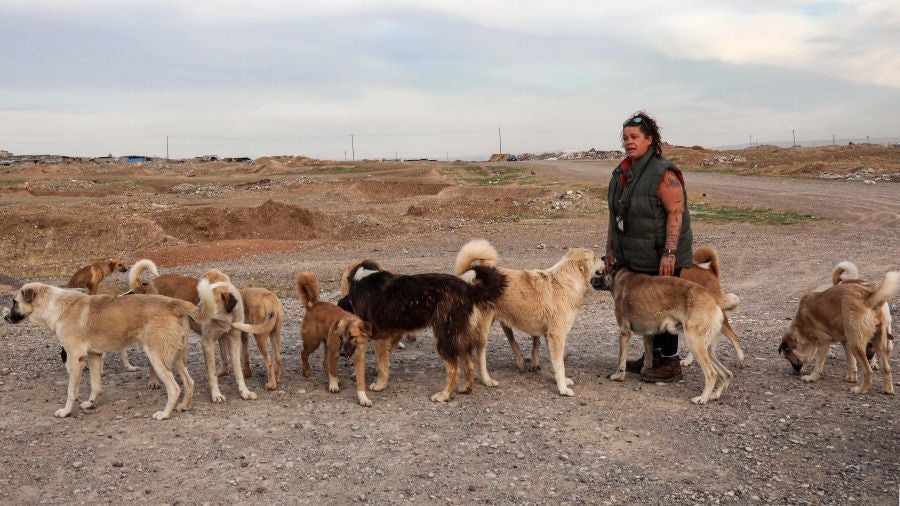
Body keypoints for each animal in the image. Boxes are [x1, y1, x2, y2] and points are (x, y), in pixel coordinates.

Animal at [298, 272, 372, 408]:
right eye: (340, 337)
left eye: (352, 337)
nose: (342, 353)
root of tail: (313, 306)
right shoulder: (334, 354)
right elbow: (333, 371)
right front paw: (333, 385)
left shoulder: (359, 360)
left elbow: (360, 383)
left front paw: (363, 398)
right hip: (313, 343)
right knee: (304, 353)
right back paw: (306, 371)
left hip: (326, 345)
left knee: (324, 362)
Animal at [340, 258, 506, 402]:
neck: (362, 278)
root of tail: (468, 289)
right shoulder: (393, 334)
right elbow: (385, 361)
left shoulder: (379, 337)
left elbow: (381, 364)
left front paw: (379, 385)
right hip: (459, 337)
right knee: (469, 364)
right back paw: (466, 388)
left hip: (444, 337)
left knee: (454, 369)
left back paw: (444, 395)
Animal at [454, 239, 600, 398]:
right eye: (595, 257)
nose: (605, 259)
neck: (567, 280)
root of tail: (473, 275)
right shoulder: (556, 336)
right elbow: (560, 365)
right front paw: (563, 389)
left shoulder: (549, 335)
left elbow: (555, 362)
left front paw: (561, 381)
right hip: (484, 328)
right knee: (480, 356)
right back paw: (487, 380)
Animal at [592, 266, 732, 406]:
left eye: (599, 272)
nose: (590, 280)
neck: (618, 276)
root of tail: (714, 302)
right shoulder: (648, 335)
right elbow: (648, 360)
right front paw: (646, 372)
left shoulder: (624, 332)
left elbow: (621, 361)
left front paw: (618, 377)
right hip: (706, 350)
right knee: (726, 374)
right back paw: (714, 395)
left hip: (694, 344)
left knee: (712, 374)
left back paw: (703, 398)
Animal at [776, 264, 896, 396]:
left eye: (788, 357)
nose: (794, 373)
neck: (801, 326)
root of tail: (868, 296)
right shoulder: (845, 341)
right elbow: (851, 362)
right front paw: (851, 378)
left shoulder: (824, 341)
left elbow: (819, 364)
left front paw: (812, 378)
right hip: (878, 343)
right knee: (887, 369)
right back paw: (888, 390)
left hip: (856, 344)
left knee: (868, 371)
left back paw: (861, 390)